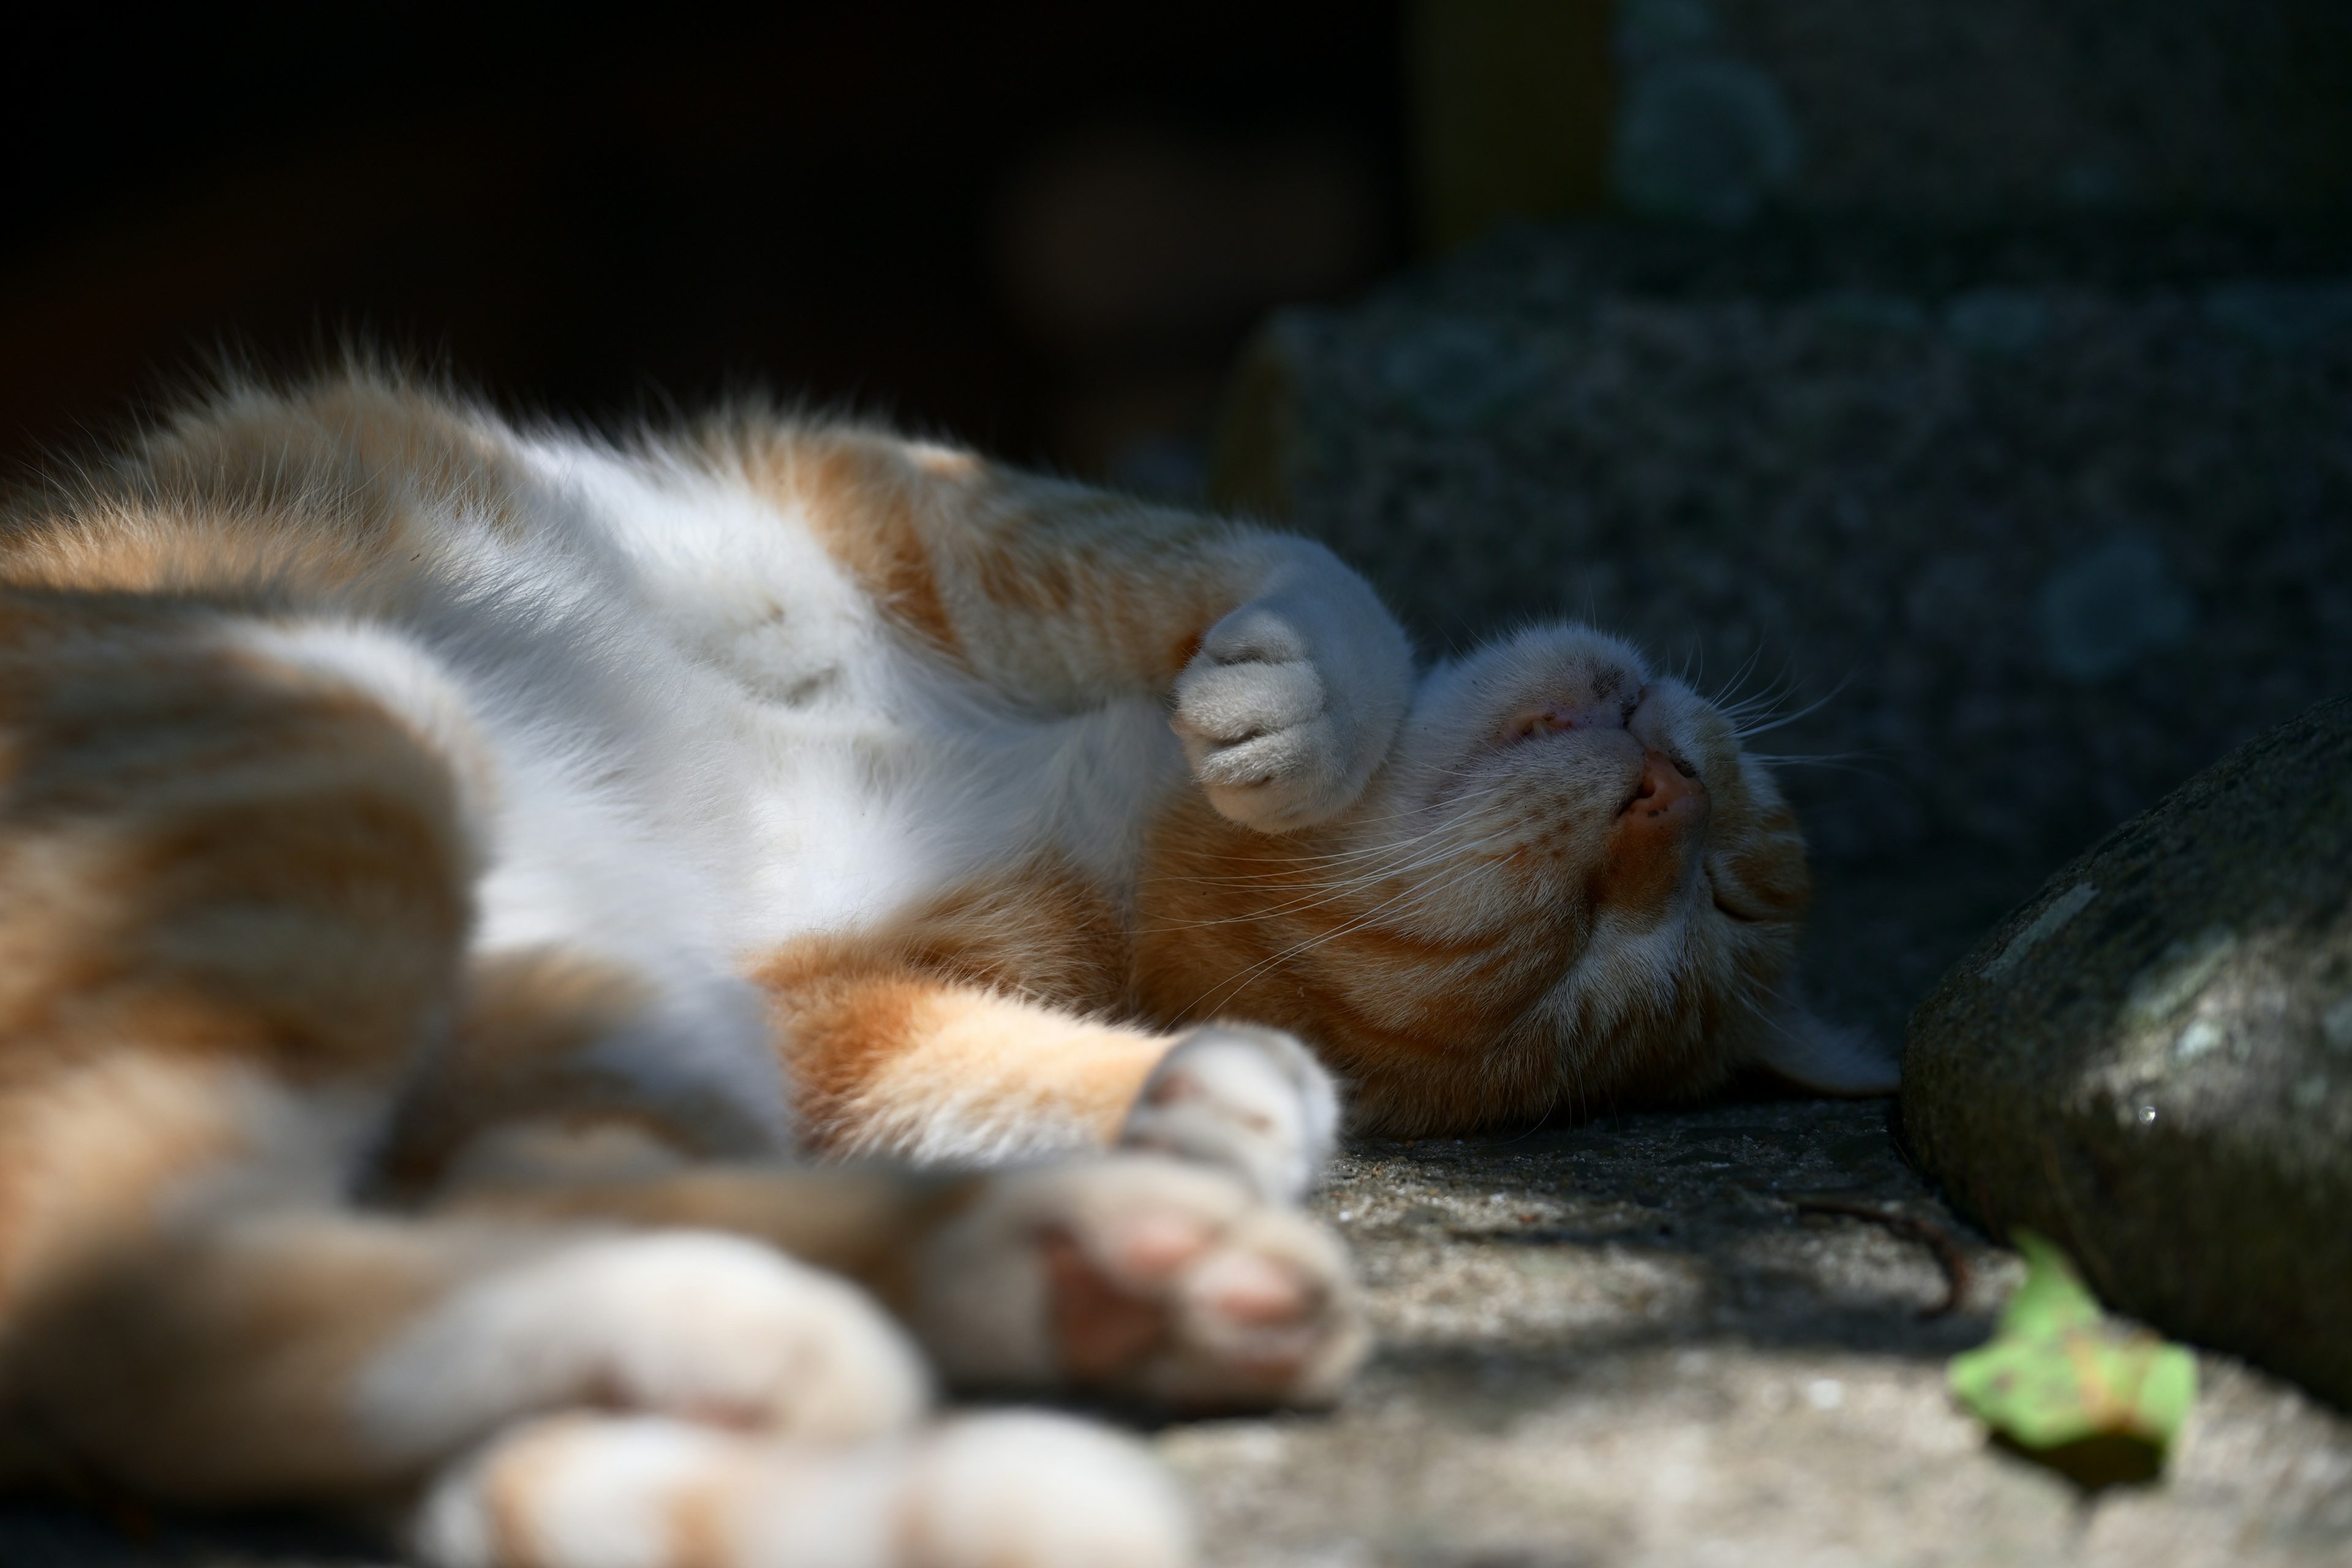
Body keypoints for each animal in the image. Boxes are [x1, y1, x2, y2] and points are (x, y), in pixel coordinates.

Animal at [0, 371, 1882, 1568]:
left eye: (1630, 940)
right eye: (1723, 864)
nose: (1669, 782)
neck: (1101, 795)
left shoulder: (827, 997)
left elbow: (978, 1055)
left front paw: (1216, 1088)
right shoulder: (909, 506)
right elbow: (1302, 571)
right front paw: (1303, 717)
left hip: (379, 781)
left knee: (148, 1302)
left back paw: (1046, 1291)